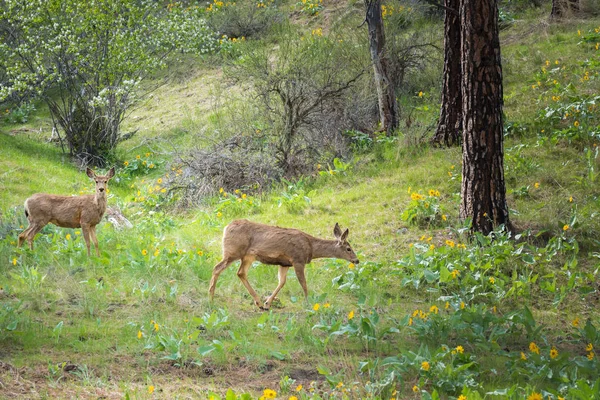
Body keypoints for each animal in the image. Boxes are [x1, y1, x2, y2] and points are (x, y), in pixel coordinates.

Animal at [210, 219, 360, 310]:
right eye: (348, 248)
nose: (357, 260)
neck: (311, 248)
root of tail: (226, 227)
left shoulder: (285, 264)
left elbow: (281, 282)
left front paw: (267, 303)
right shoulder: (298, 260)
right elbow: (304, 284)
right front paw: (308, 303)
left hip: (248, 256)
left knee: (240, 273)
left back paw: (259, 303)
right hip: (233, 252)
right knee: (217, 268)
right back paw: (210, 296)